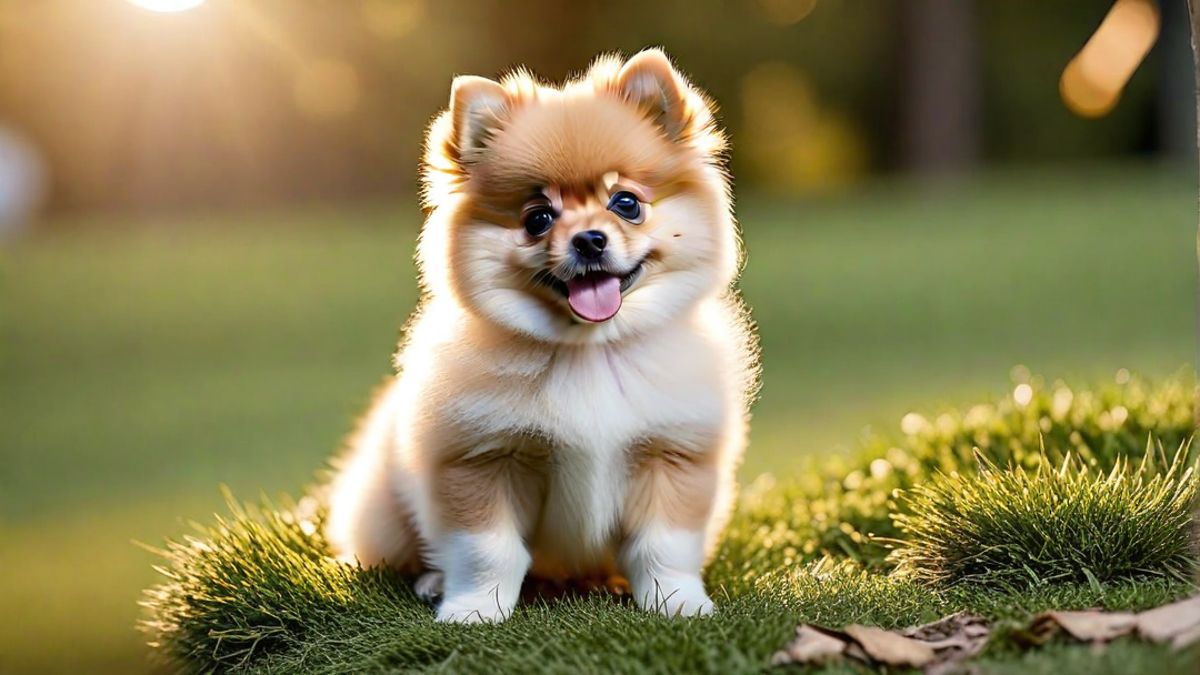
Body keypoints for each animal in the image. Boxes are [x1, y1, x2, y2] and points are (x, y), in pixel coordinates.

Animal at [321, 48, 758, 619]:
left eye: (626, 203)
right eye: (537, 218)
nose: (589, 240)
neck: (589, 352)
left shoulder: (672, 454)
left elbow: (663, 547)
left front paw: (677, 603)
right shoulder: (481, 459)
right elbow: (489, 550)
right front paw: (474, 610)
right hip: (385, 506)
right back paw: (434, 581)